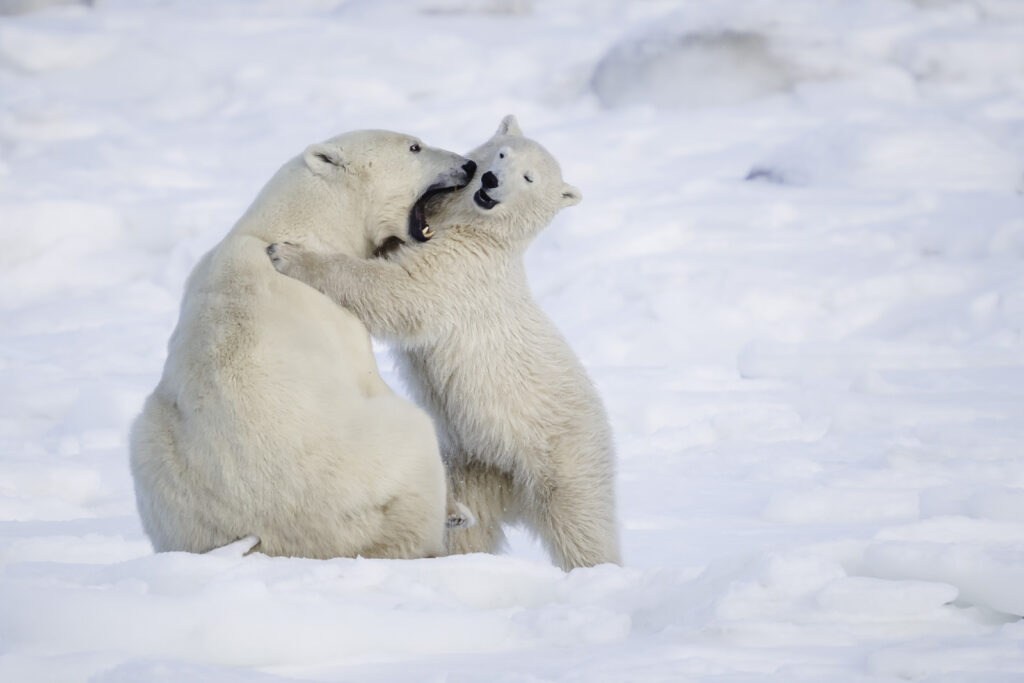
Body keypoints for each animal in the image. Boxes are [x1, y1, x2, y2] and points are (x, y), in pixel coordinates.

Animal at [129, 129, 476, 559]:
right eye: (414, 147)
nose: (469, 165)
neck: (292, 223)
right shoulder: (337, 315)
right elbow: (367, 375)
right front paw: (457, 508)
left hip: (160, 466)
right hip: (371, 469)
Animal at [267, 116, 621, 571]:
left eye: (529, 178)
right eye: (502, 153)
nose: (490, 180)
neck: (479, 230)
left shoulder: (461, 268)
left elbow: (398, 290)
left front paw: (288, 253)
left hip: (562, 454)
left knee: (584, 526)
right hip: (478, 460)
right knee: (472, 521)